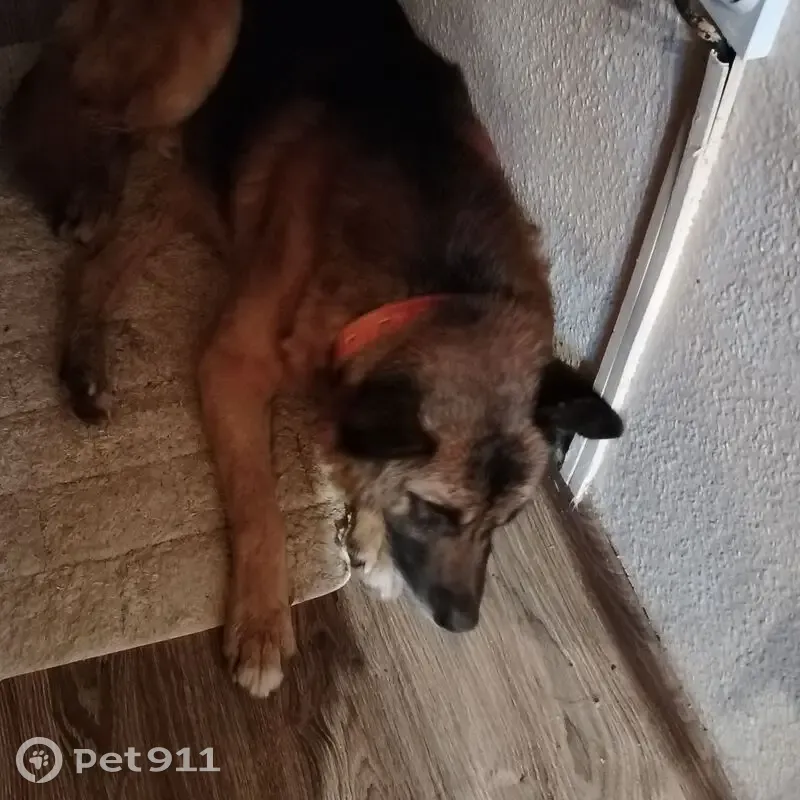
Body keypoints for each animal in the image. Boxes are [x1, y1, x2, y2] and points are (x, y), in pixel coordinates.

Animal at [4, 0, 623, 698]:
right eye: (436, 512)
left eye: (506, 522)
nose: (462, 623)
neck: (444, 280)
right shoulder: (232, 367)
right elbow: (260, 510)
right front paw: (262, 626)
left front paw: (371, 534)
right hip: (201, 46)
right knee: (67, 97)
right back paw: (86, 187)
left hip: (187, 177)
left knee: (102, 253)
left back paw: (84, 357)